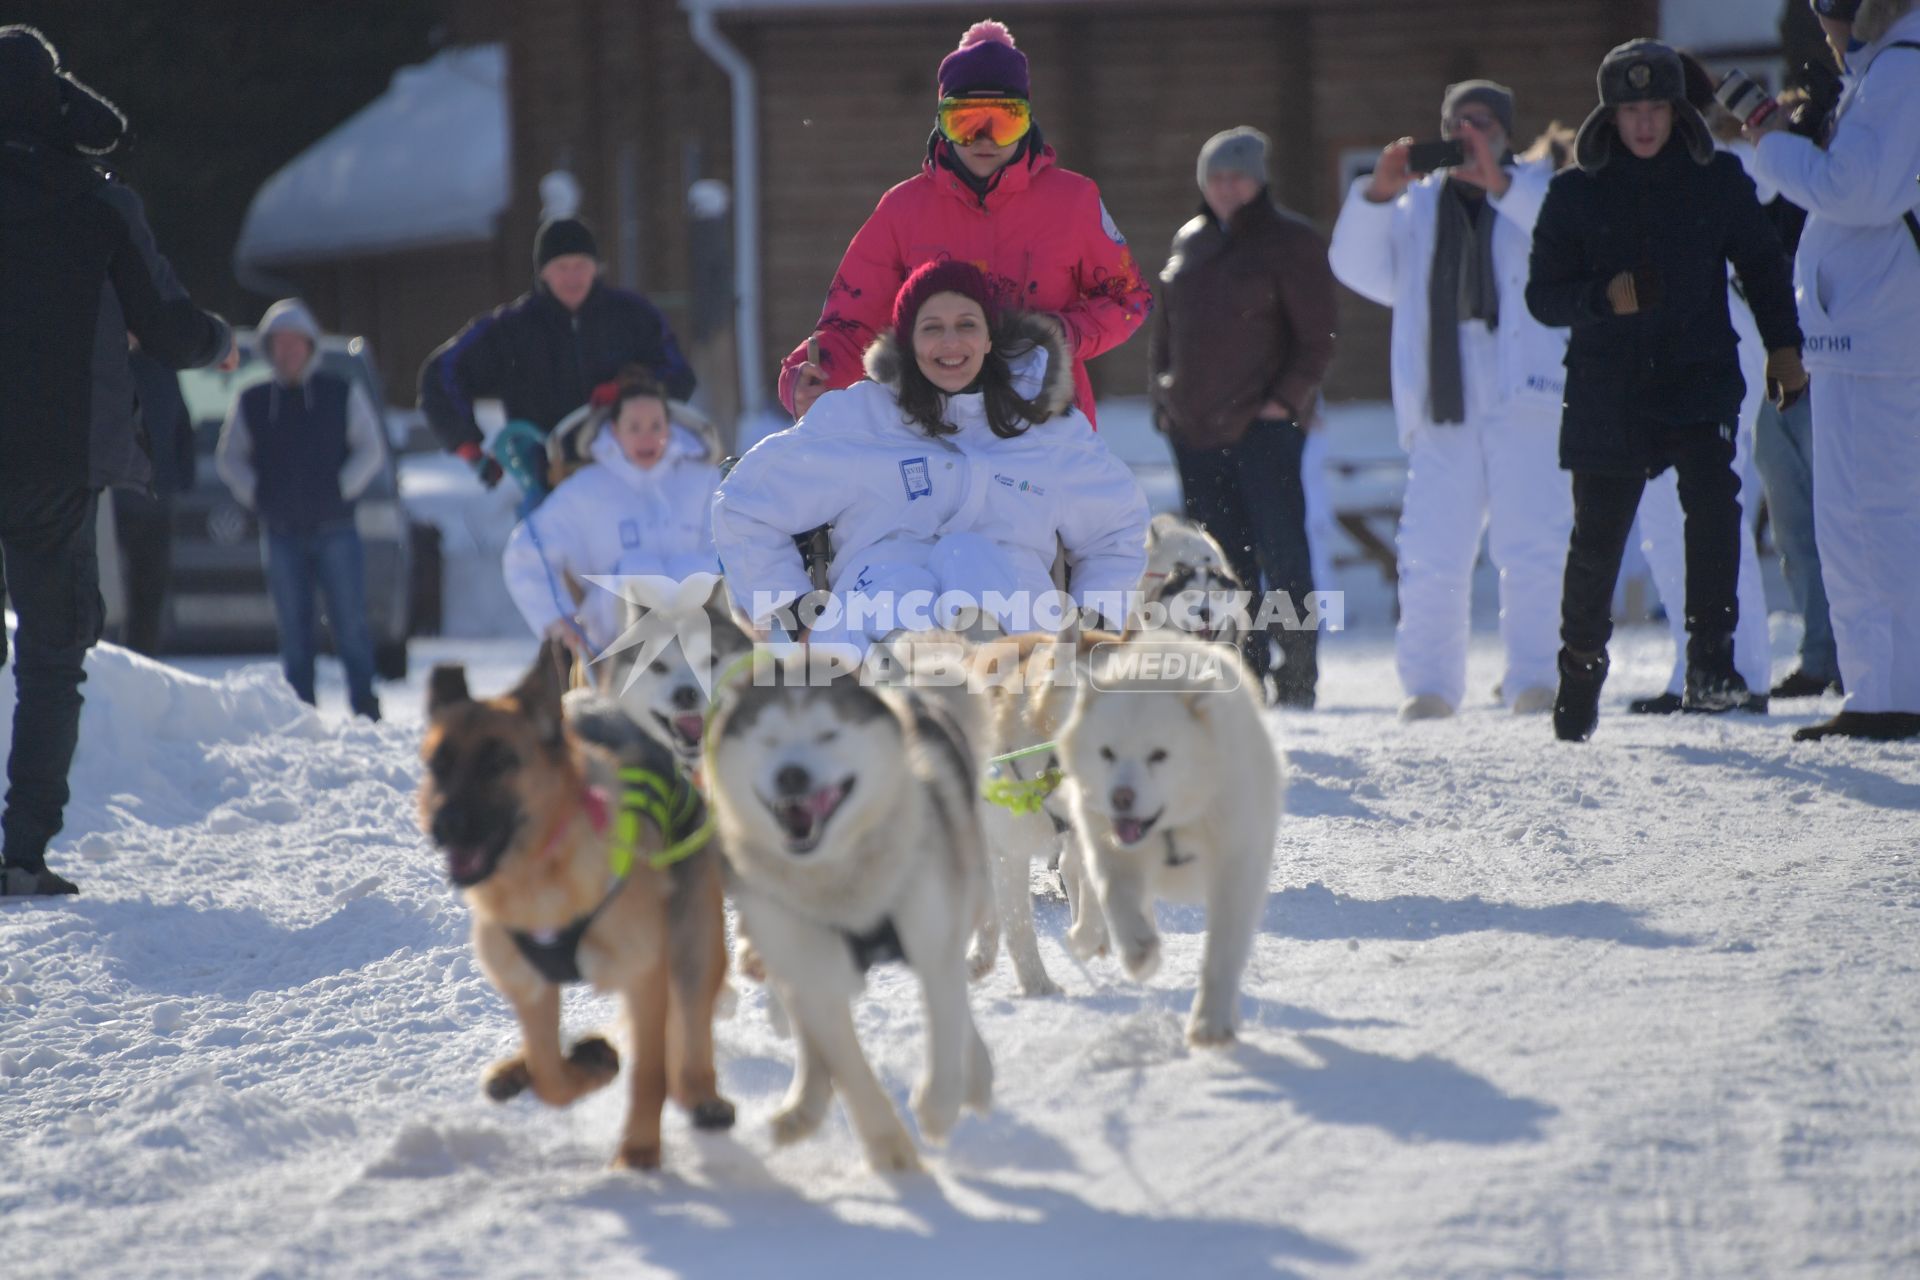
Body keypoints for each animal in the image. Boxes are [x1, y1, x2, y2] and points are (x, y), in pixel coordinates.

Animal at [420, 640, 733, 1174]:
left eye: (497, 764)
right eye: (438, 764)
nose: (443, 824)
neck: (544, 871)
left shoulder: (645, 977)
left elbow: (649, 1074)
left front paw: (638, 1151)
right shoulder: (530, 987)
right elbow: (551, 1076)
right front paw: (587, 1064)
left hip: (693, 944)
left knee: (690, 1030)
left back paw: (700, 1095)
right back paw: (517, 1070)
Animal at [702, 656, 990, 1174]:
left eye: (828, 734)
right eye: (768, 740)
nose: (791, 775)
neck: (839, 879)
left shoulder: (934, 940)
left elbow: (947, 1027)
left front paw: (938, 1109)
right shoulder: (809, 969)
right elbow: (848, 1067)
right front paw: (887, 1147)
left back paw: (975, 1076)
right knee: (809, 1037)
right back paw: (804, 1105)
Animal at [1059, 637, 1282, 1043]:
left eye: (1159, 755)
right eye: (1107, 753)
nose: (1121, 797)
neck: (1173, 829)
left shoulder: (1236, 869)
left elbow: (1223, 950)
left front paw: (1211, 1021)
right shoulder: (1109, 848)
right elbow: (1115, 895)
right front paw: (1138, 951)